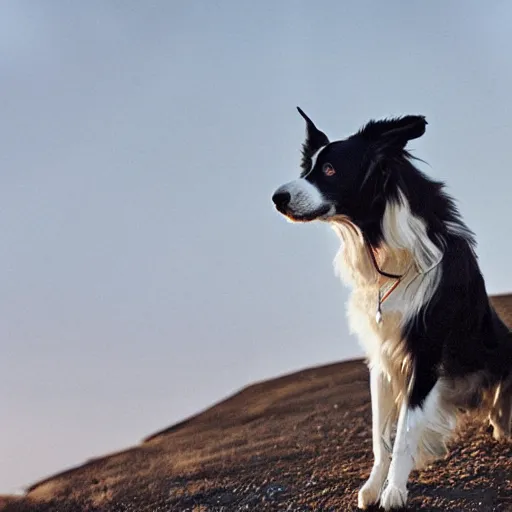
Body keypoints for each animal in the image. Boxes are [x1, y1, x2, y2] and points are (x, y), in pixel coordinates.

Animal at [272, 108, 512, 508]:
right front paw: (373, 487)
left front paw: (394, 491)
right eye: (307, 168)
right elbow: (379, 435)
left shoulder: (425, 353)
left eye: (330, 170)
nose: (277, 197)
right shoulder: (382, 353)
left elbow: (404, 431)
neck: (381, 240)